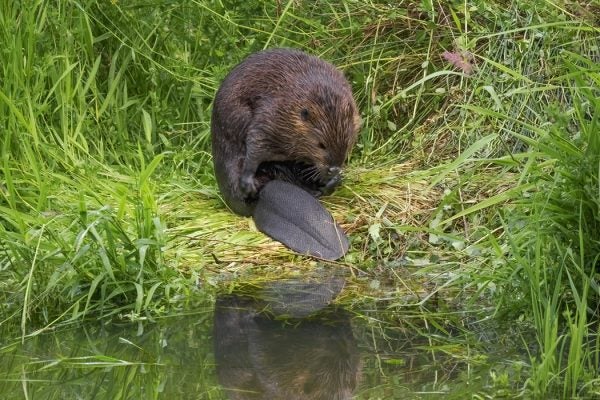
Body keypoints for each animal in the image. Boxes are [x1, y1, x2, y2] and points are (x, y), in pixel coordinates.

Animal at [211, 48, 360, 217]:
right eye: (321, 145)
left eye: (347, 143)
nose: (333, 169)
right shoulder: (272, 114)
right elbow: (256, 142)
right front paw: (247, 182)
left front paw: (331, 179)